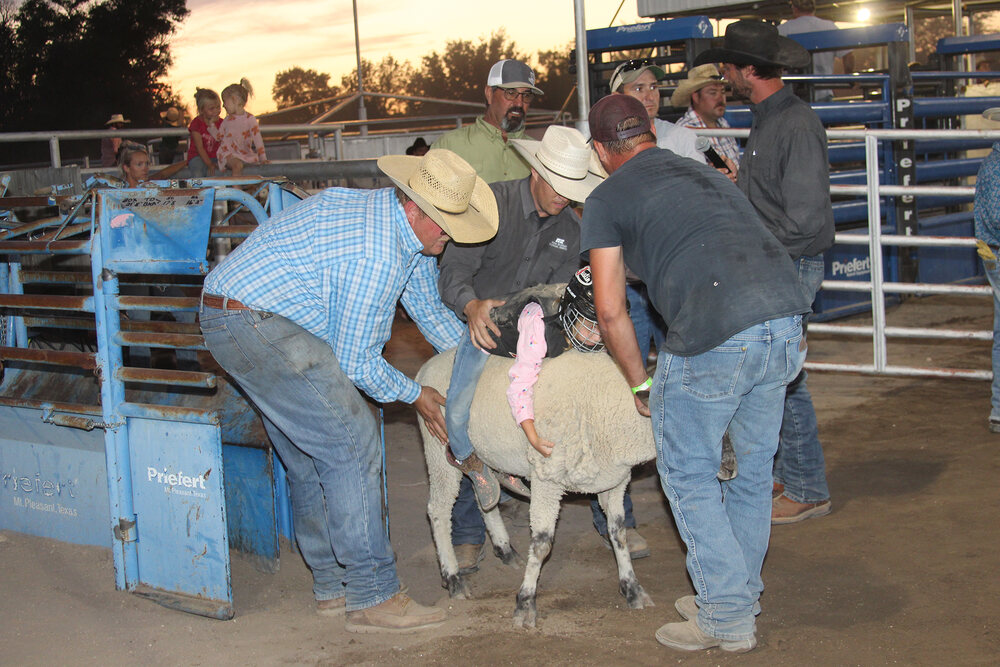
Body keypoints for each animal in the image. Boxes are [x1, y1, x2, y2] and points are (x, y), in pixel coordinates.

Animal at [414, 348, 656, 628]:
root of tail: (425, 370)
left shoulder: (615, 482)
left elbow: (619, 533)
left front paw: (632, 589)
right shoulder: (547, 478)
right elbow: (542, 544)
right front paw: (525, 603)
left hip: (484, 453)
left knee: (484, 496)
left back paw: (505, 550)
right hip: (438, 448)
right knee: (439, 510)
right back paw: (453, 578)